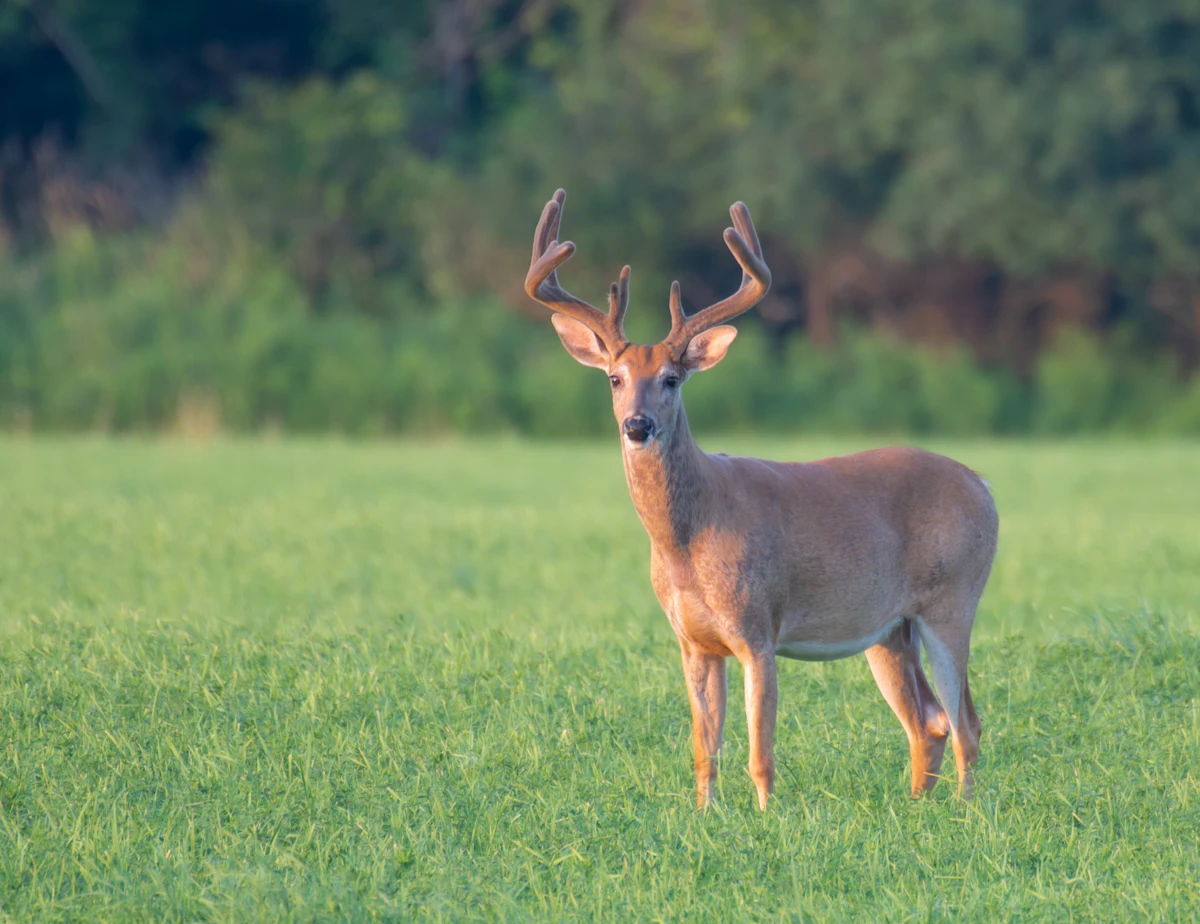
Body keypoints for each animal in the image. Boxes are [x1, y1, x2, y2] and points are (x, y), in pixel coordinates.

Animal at [525, 189, 998, 810]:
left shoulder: (759, 627)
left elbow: (760, 750)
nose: (637, 425)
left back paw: (965, 813)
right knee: (930, 722)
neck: (687, 543)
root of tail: (984, 486)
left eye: (672, 378)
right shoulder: (692, 641)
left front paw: (768, 818)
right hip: (889, 628)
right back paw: (918, 804)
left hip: (953, 598)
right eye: (614, 378)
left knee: (966, 723)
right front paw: (705, 815)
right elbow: (704, 747)